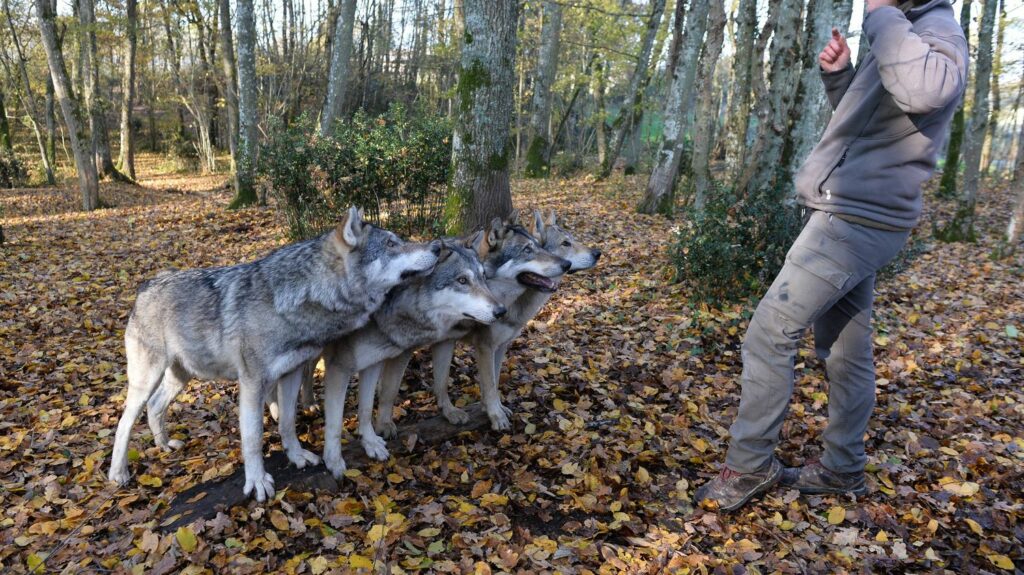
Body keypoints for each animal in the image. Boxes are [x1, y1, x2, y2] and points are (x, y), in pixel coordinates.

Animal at [105, 207, 438, 499]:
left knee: (155, 406)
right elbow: (253, 438)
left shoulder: (290, 374)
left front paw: (298, 455)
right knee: (124, 422)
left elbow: (287, 421)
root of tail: (146, 285)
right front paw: (257, 482)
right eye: (392, 244)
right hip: (147, 380)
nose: (437, 247)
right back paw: (118, 473)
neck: (299, 298)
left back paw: (163, 445)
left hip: (180, 377)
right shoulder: (252, 384)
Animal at [374, 210, 598, 433]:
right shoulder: (484, 347)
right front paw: (496, 416)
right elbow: (488, 383)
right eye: (565, 243)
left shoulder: (496, 346)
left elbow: (491, 380)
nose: (597, 253)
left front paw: (491, 408)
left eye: (539, 246)